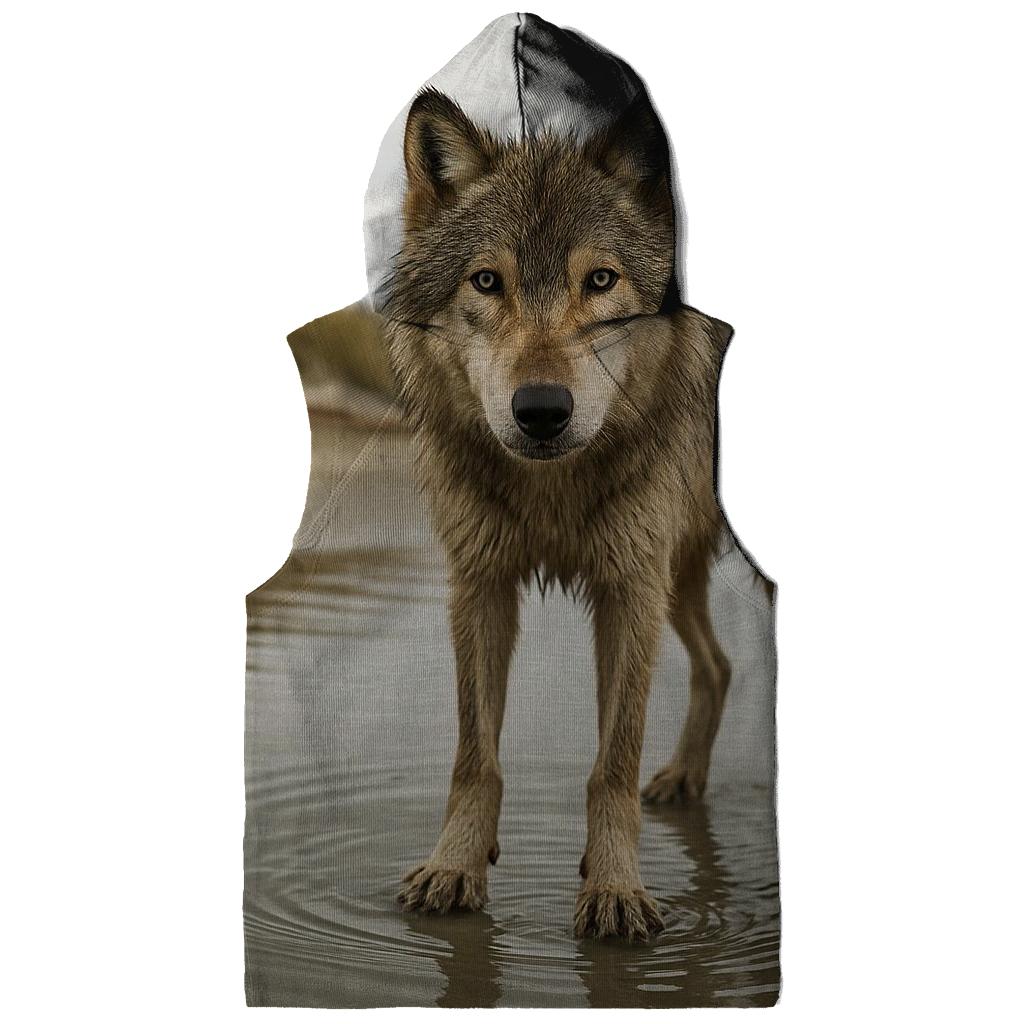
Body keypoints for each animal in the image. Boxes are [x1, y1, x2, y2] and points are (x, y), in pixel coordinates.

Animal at [385, 87, 734, 941]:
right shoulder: (480, 584)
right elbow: (474, 755)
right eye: (486, 281)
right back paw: (684, 777)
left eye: (600, 280)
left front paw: (613, 891)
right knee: (718, 664)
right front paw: (454, 867)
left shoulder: (629, 588)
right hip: (677, 576)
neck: (553, 489)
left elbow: (612, 763)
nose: (541, 410)